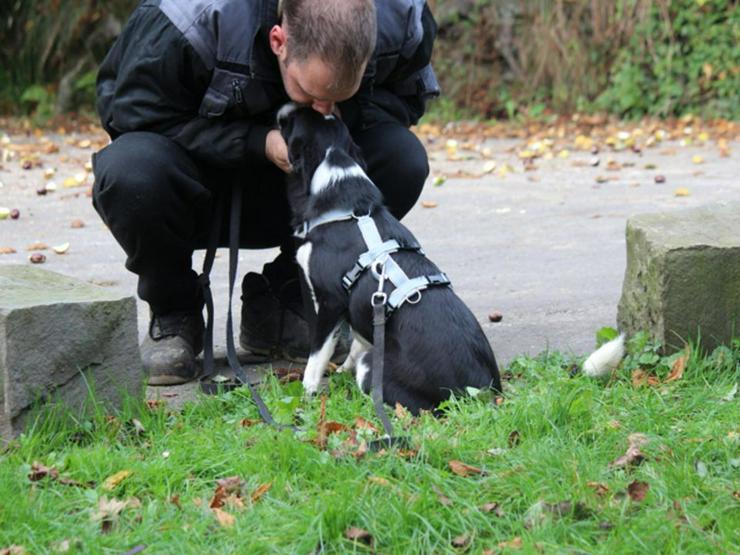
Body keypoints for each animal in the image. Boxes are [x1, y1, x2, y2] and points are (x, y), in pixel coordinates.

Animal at [278, 105, 502, 416]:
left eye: (292, 122)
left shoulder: (329, 303)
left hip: (373, 368)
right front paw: (340, 373)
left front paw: (307, 392)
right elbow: (358, 340)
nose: (284, 108)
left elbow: (317, 355)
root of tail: (479, 394)